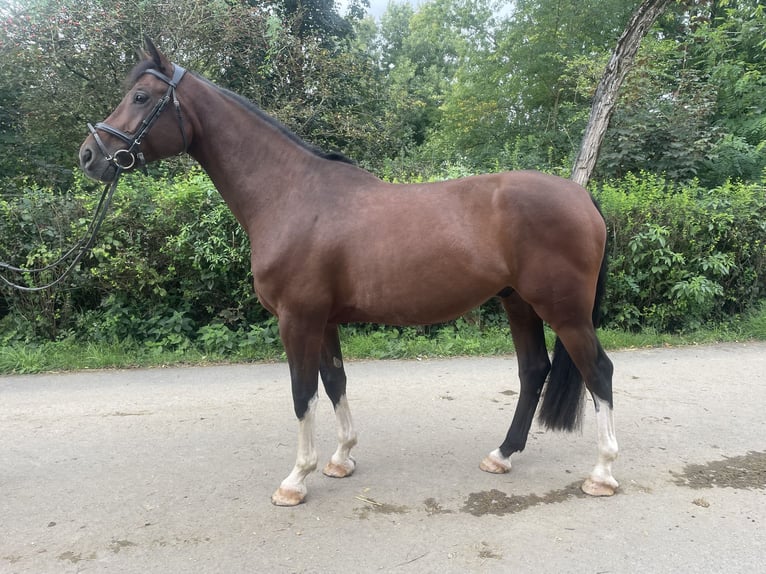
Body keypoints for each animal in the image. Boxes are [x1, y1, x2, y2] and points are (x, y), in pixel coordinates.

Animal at [79, 39, 616, 508]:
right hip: (517, 302)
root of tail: (581, 196)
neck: (291, 195)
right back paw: (501, 455)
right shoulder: (325, 320)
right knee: (533, 371)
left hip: (563, 310)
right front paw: (341, 459)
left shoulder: (297, 318)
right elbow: (335, 381)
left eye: (140, 96)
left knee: (598, 371)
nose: (89, 155)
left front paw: (296, 480)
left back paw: (603, 473)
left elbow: (302, 393)